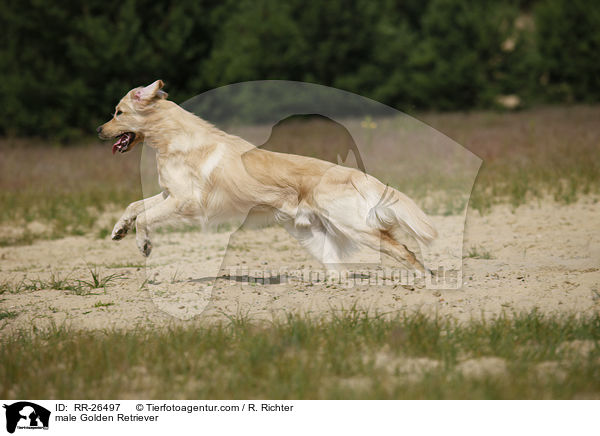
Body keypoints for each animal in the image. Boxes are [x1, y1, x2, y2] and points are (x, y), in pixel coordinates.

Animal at [97, 81, 436, 270]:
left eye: (118, 113)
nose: (98, 130)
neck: (172, 137)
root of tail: (356, 174)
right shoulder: (170, 194)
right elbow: (134, 206)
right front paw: (119, 229)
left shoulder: (186, 202)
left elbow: (145, 217)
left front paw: (143, 245)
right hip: (315, 236)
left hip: (355, 227)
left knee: (404, 251)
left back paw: (425, 285)